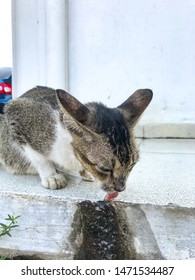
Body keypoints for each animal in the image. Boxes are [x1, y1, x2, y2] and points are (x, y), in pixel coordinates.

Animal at [0, 87, 152, 195]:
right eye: (104, 168)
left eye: (132, 165)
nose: (121, 188)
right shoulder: (15, 115)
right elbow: (38, 158)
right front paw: (51, 176)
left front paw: (86, 173)